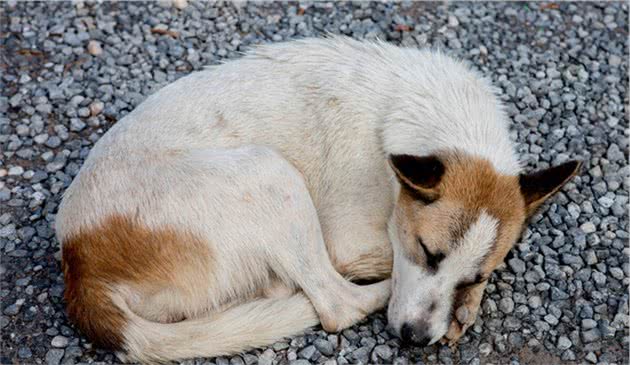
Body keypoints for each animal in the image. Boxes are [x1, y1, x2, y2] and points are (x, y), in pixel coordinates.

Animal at [55, 35, 584, 360]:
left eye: (476, 276)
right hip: (268, 172)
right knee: (335, 304)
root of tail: (79, 268)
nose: (416, 339)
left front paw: (465, 305)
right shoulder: (350, 241)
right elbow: (383, 263)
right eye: (426, 251)